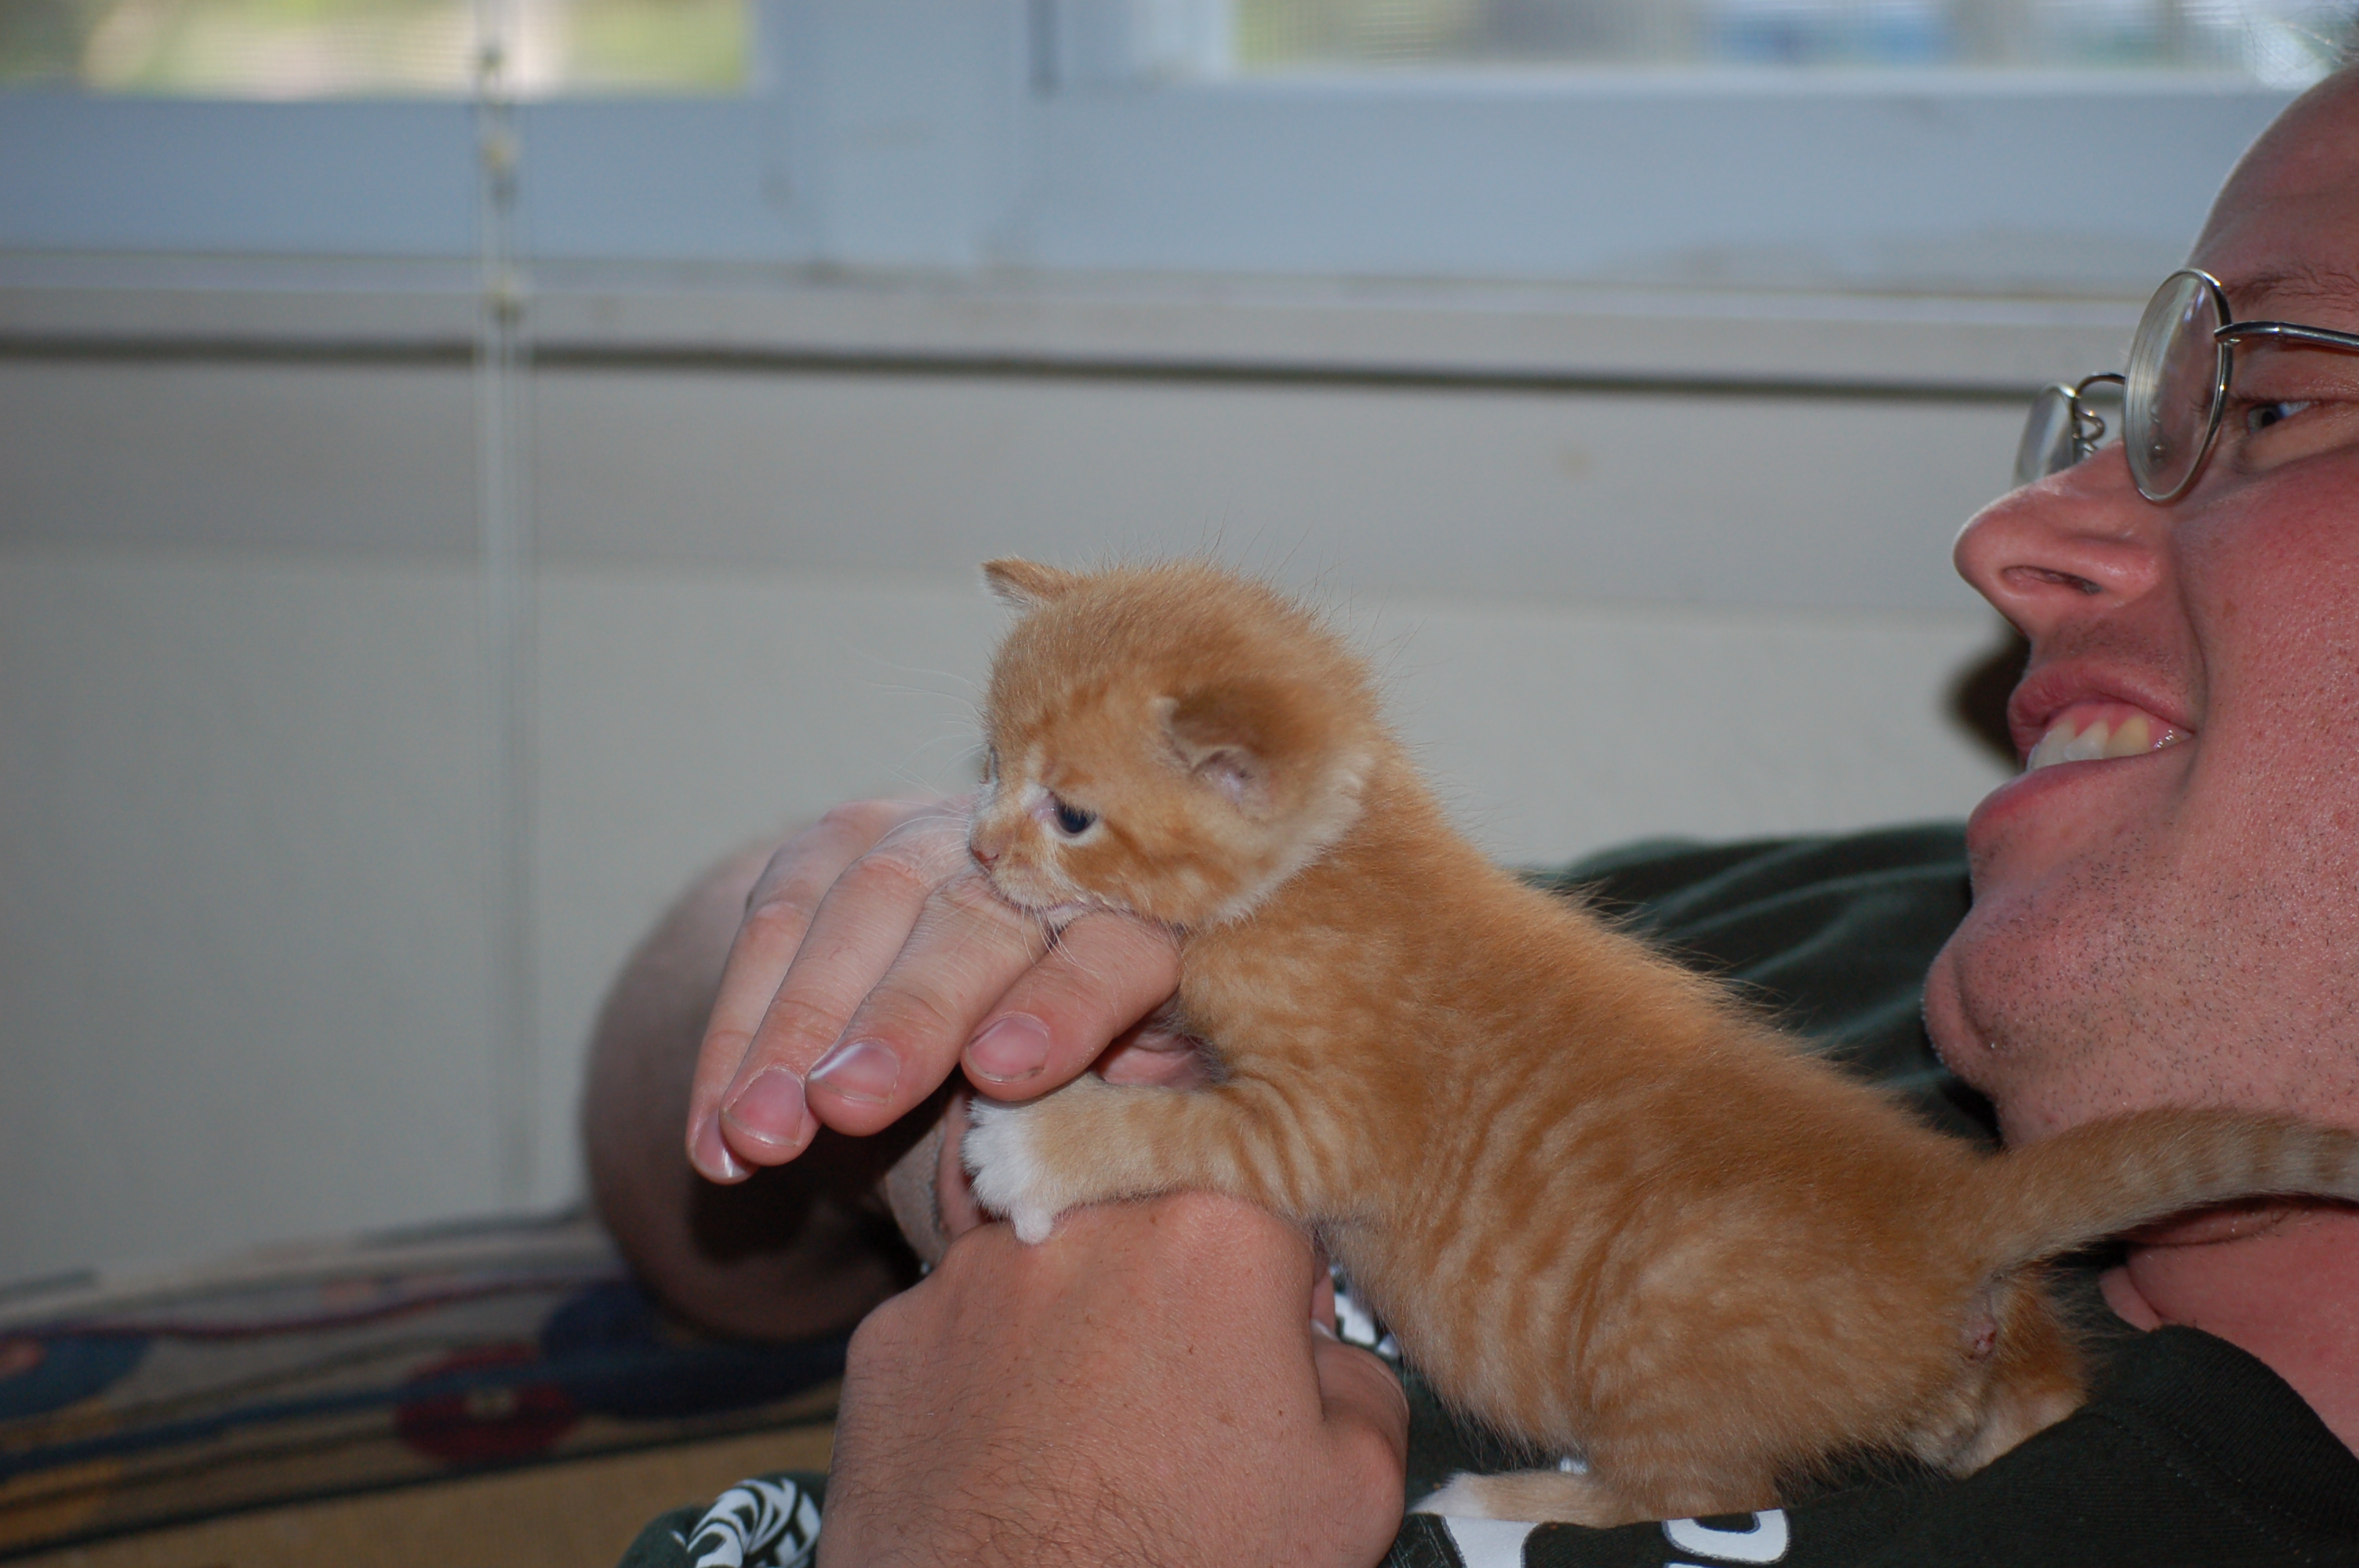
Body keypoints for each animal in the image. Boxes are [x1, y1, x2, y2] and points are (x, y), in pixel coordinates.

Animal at [956, 555, 2359, 1527]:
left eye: (1070, 813)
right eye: (989, 766)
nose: (976, 850)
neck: (1335, 854)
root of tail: (1949, 1213)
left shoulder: (1333, 1122)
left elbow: (1186, 1126)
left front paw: (1030, 1150)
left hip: (1666, 1318)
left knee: (1689, 1496)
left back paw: (1513, 1500)